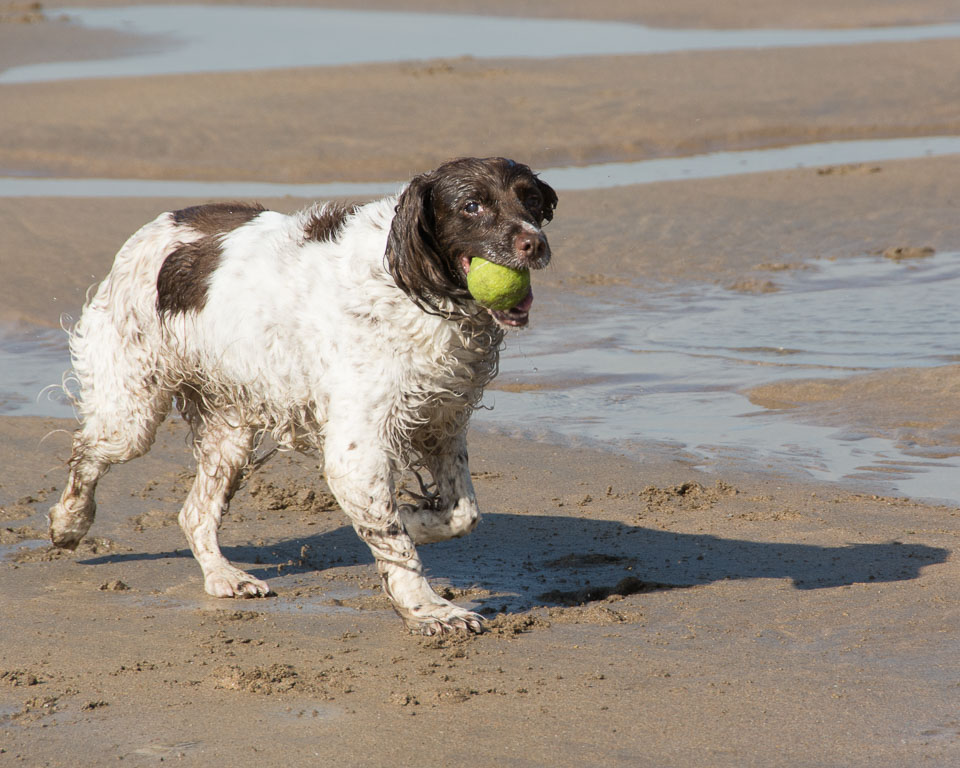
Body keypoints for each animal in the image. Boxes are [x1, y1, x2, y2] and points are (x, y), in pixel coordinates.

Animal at [48, 158, 560, 636]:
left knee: (194, 513)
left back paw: (224, 577)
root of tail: (158, 224)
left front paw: (415, 517)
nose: (534, 244)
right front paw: (429, 610)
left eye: (531, 200)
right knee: (88, 452)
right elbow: (396, 542)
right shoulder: (356, 450)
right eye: (472, 205)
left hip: (229, 432)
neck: (410, 285)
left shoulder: (441, 424)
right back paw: (69, 523)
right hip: (131, 413)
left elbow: (461, 514)